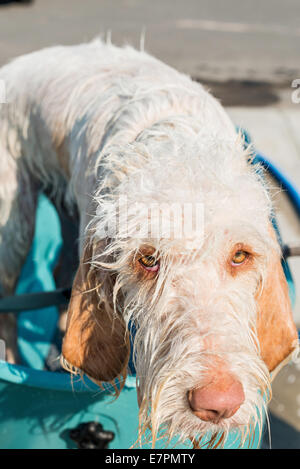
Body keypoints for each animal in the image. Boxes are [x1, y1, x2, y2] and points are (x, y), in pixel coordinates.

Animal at [0, 41, 298, 446]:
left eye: (240, 255)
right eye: (147, 260)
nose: (217, 403)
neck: (177, 137)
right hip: (13, 227)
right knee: (8, 311)